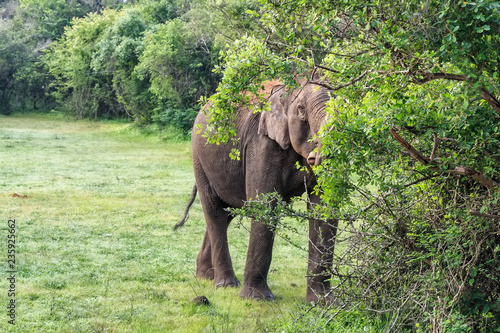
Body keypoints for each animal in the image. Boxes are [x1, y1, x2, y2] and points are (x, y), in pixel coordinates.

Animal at [178, 77, 338, 300]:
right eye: (301, 109)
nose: (315, 157)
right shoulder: (261, 143)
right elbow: (265, 206)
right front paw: (257, 298)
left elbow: (324, 209)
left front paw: (323, 302)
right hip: (199, 157)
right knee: (215, 211)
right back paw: (225, 284)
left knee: (228, 212)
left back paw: (205, 276)